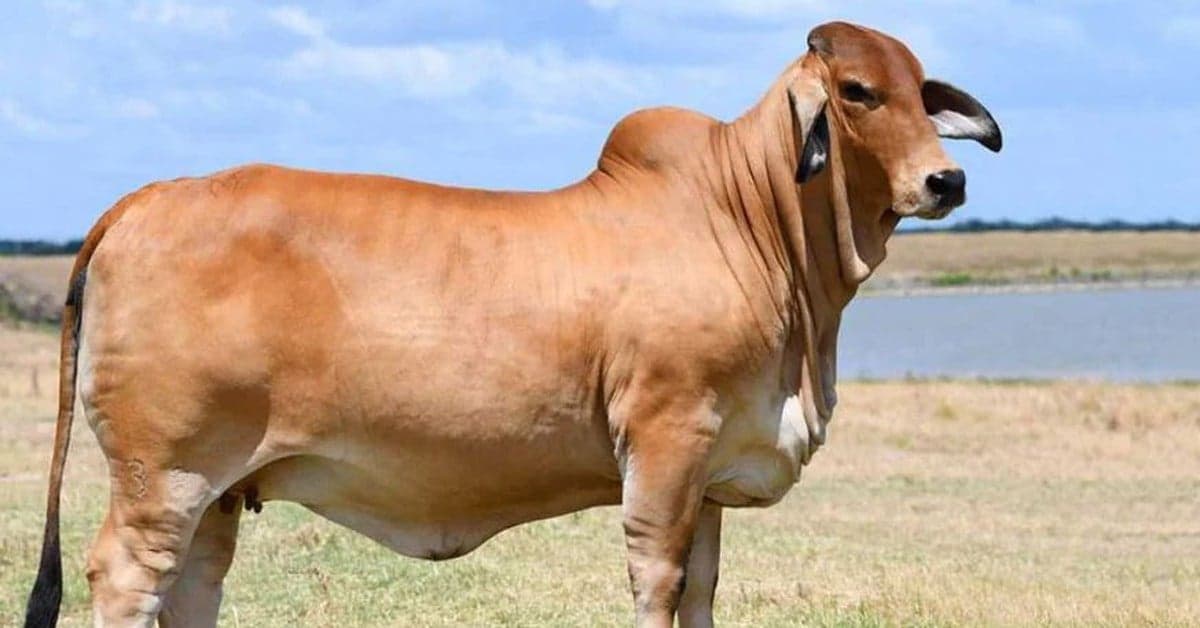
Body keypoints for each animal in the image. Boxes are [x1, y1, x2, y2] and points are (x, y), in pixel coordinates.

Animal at [25, 21, 1000, 628]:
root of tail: (146, 198)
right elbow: (658, 580)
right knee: (125, 577)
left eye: (923, 92)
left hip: (217, 490)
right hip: (164, 474)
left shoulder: (712, 474)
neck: (757, 223)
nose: (947, 180)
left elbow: (702, 589)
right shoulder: (667, 442)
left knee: (192, 585)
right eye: (858, 91)